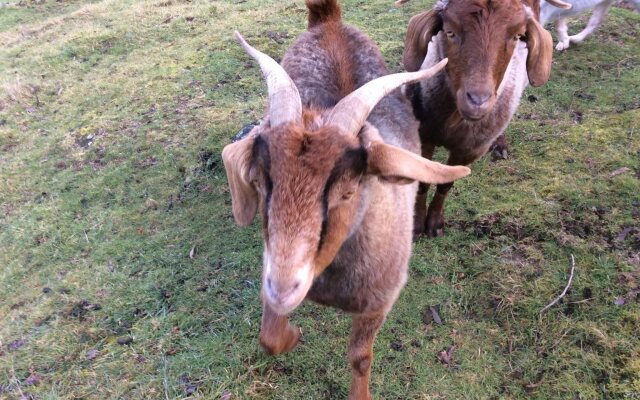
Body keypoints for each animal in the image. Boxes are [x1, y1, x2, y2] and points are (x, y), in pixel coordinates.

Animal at [221, 1, 470, 398]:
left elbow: (360, 358)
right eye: (260, 182)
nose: (283, 288)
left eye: (348, 190)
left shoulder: (378, 303)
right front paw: (292, 335)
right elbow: (269, 337)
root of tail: (330, 20)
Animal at [402, 0, 564, 236]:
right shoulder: (424, 136)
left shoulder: (471, 149)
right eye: (449, 32)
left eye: (517, 36)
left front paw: (434, 223)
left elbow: (446, 184)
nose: (478, 102)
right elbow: (423, 179)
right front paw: (416, 223)